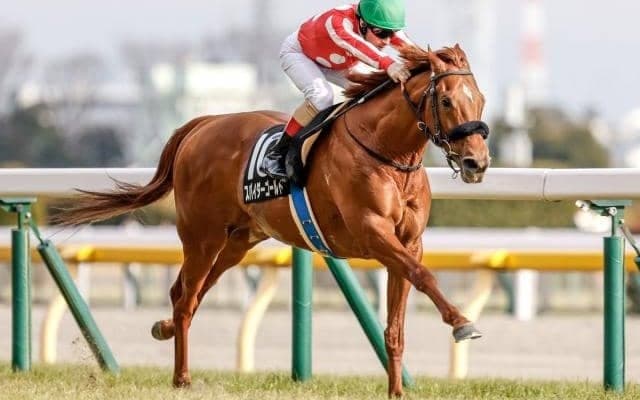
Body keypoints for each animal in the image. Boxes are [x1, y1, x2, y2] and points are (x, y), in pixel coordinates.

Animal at [58, 44, 490, 397]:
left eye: (481, 99)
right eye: (447, 101)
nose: (477, 162)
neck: (387, 152)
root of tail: (203, 124)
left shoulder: (408, 241)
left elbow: (397, 325)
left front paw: (397, 391)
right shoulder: (373, 233)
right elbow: (424, 275)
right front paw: (462, 322)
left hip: (238, 240)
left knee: (190, 291)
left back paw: (164, 328)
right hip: (202, 236)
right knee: (185, 296)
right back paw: (181, 377)